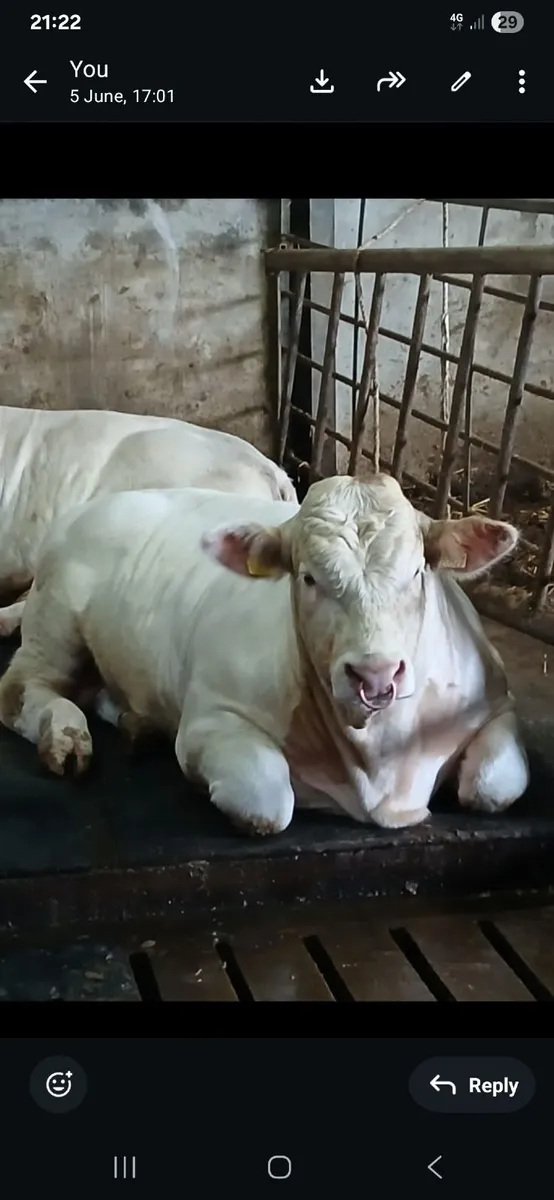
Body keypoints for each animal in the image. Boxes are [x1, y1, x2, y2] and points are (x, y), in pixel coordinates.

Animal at [0, 472, 529, 834]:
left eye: (419, 571)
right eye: (308, 577)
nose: (376, 676)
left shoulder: (496, 705)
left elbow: (493, 787)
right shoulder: (209, 719)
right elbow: (267, 802)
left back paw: (137, 724)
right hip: (54, 620)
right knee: (24, 689)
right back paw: (65, 737)